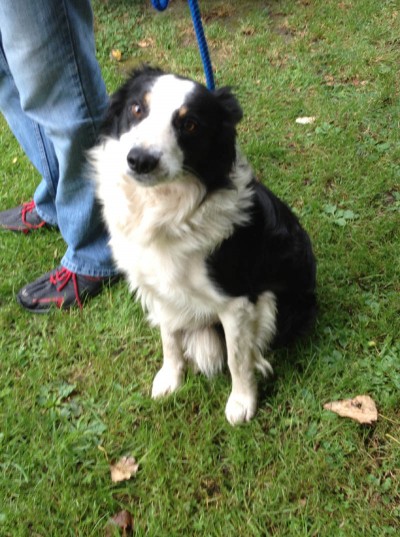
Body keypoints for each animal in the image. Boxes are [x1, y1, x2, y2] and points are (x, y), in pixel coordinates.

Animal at [90, 66, 316, 422]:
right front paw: (170, 379)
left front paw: (242, 402)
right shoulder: (160, 289)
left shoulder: (237, 300)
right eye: (137, 109)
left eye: (190, 125)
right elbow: (169, 339)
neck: (163, 207)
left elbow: (237, 358)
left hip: (277, 300)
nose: (140, 160)